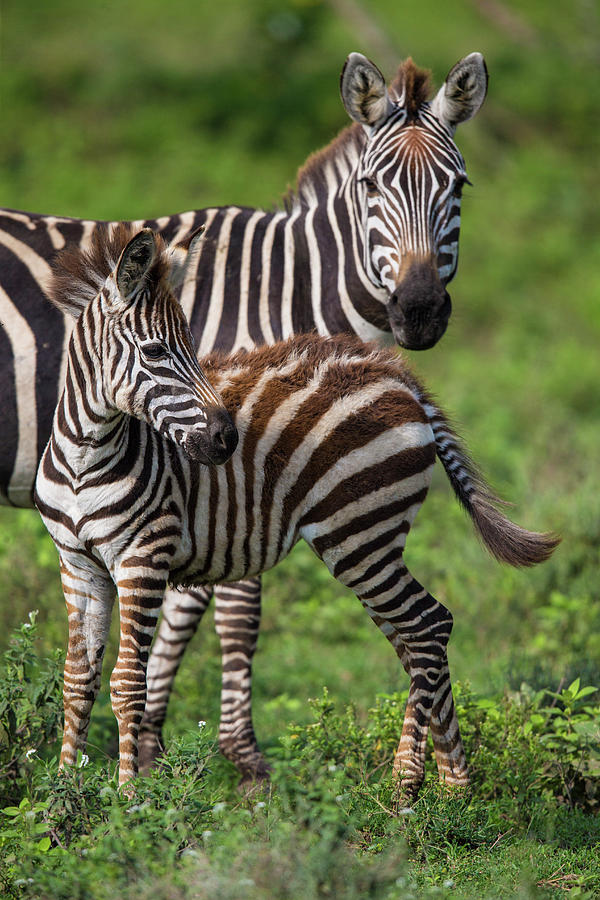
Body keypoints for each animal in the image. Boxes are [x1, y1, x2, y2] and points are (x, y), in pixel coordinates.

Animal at [0, 52, 488, 772]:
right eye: (371, 186)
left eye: (458, 186)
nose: (421, 309)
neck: (288, 287)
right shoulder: (236, 470)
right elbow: (235, 613)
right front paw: (240, 761)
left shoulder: (220, 483)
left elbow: (179, 618)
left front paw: (154, 748)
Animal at [35, 230, 556, 796]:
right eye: (153, 351)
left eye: (193, 348)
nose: (225, 439)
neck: (87, 457)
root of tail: (398, 375)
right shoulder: (78, 564)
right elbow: (77, 681)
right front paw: (62, 797)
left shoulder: (143, 558)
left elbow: (129, 683)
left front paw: (130, 800)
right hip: (373, 542)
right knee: (415, 638)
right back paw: (433, 782)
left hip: (357, 533)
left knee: (427, 626)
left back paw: (425, 787)